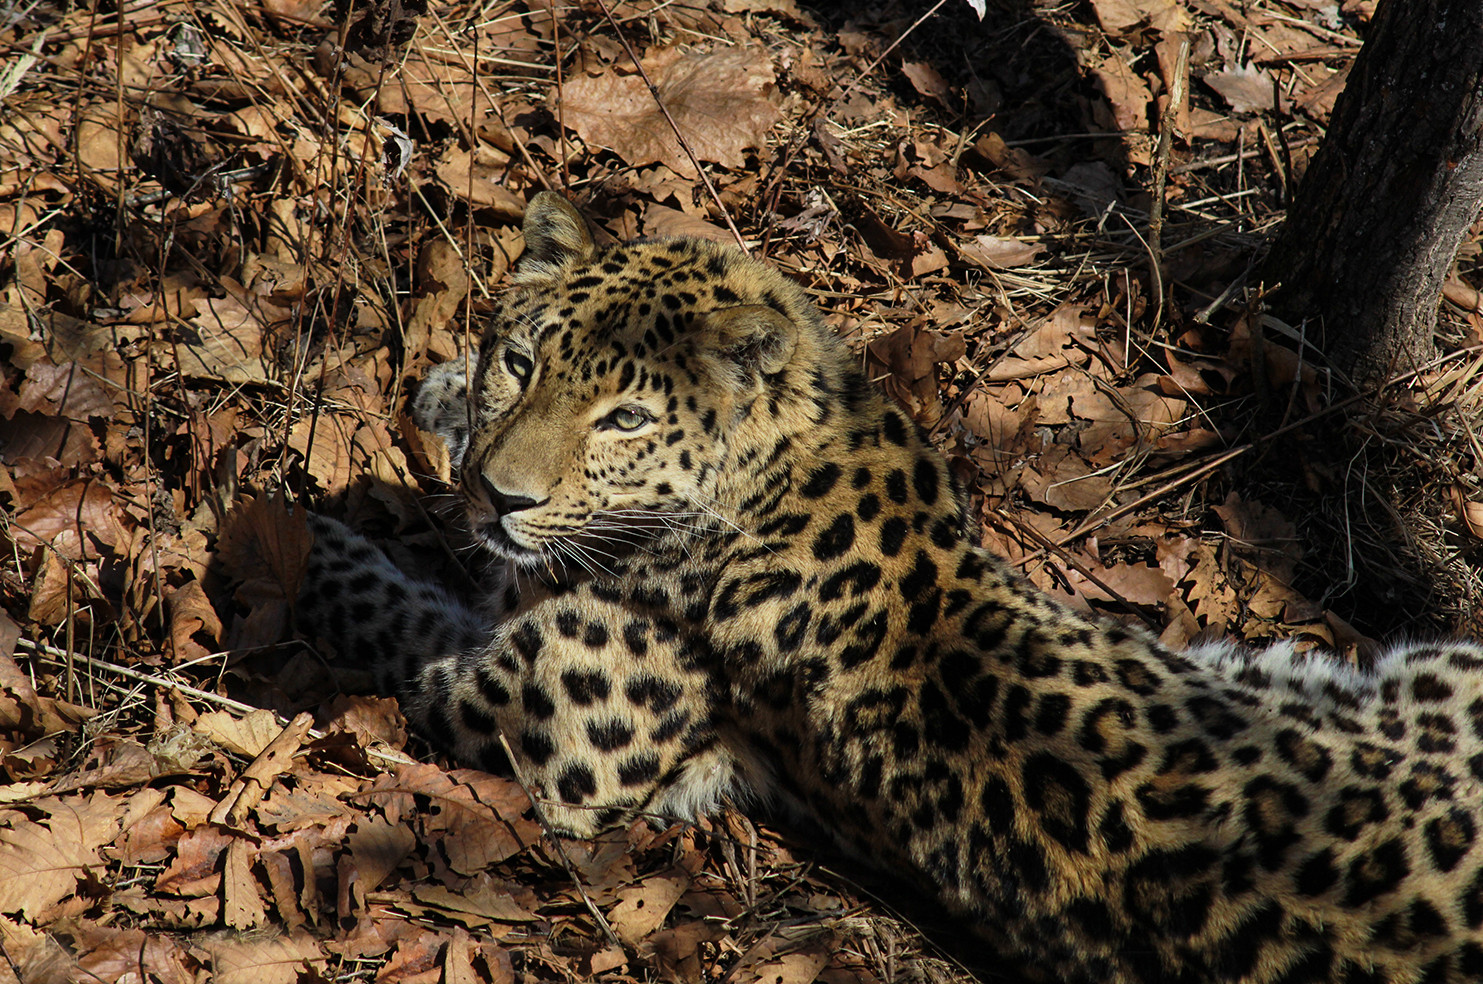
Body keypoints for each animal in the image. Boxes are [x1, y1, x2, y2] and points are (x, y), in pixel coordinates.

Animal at [295, 192, 1483, 984]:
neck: (802, 443)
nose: (501, 495)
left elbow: (402, 617)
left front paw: (303, 536)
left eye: (625, 419)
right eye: (524, 361)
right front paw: (446, 403)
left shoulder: (557, 742)